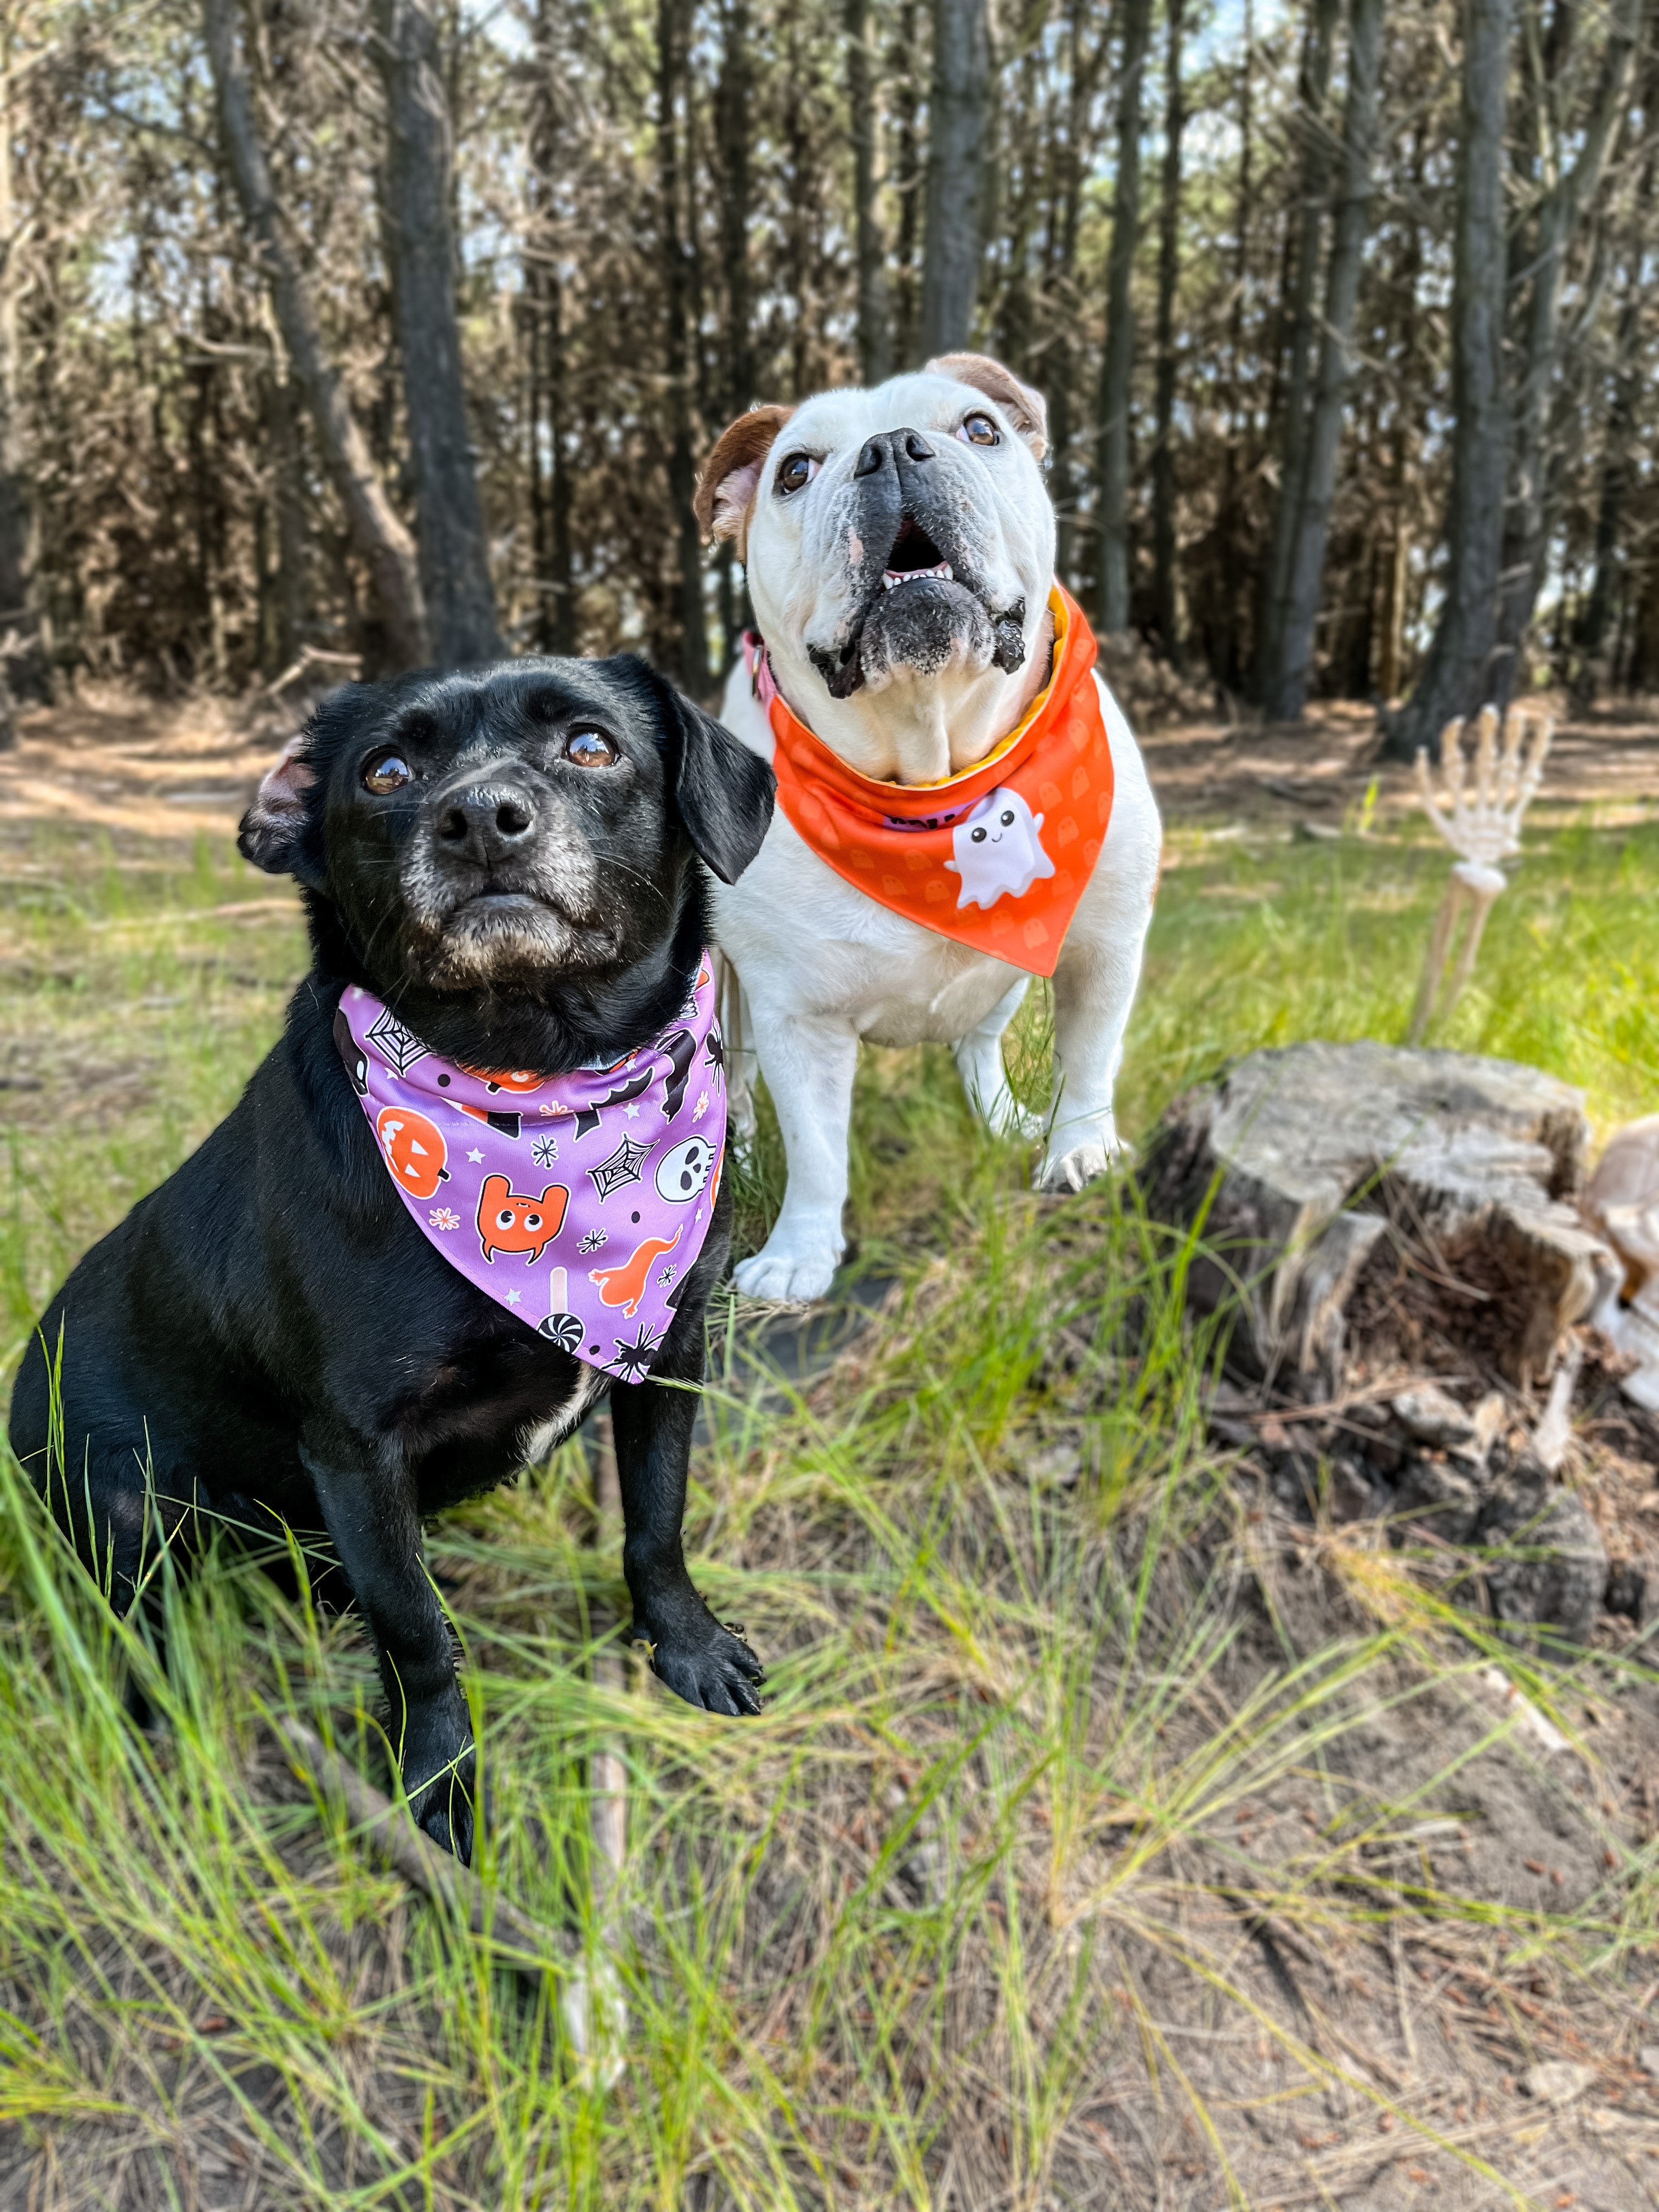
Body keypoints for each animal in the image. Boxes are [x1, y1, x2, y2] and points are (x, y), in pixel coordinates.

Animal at [9, 659, 778, 1867]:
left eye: (592, 745)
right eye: (385, 773)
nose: (481, 818)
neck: (535, 1088)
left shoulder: (671, 1354)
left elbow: (657, 1524)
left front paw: (687, 1648)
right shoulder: (358, 1448)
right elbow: (418, 1634)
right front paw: (440, 1785)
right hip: (127, 1511)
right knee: (145, 1632)